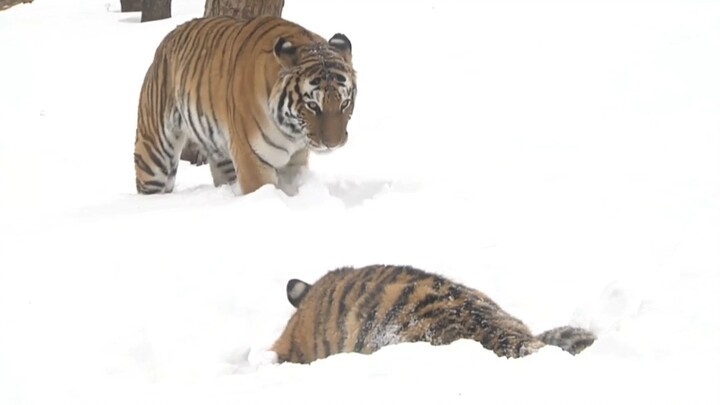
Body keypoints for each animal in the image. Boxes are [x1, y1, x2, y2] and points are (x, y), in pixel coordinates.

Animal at [133, 15, 357, 195]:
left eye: (345, 103)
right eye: (312, 105)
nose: (333, 144)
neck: (293, 132)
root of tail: (167, 38)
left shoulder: (295, 160)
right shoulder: (252, 157)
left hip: (221, 156)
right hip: (155, 153)